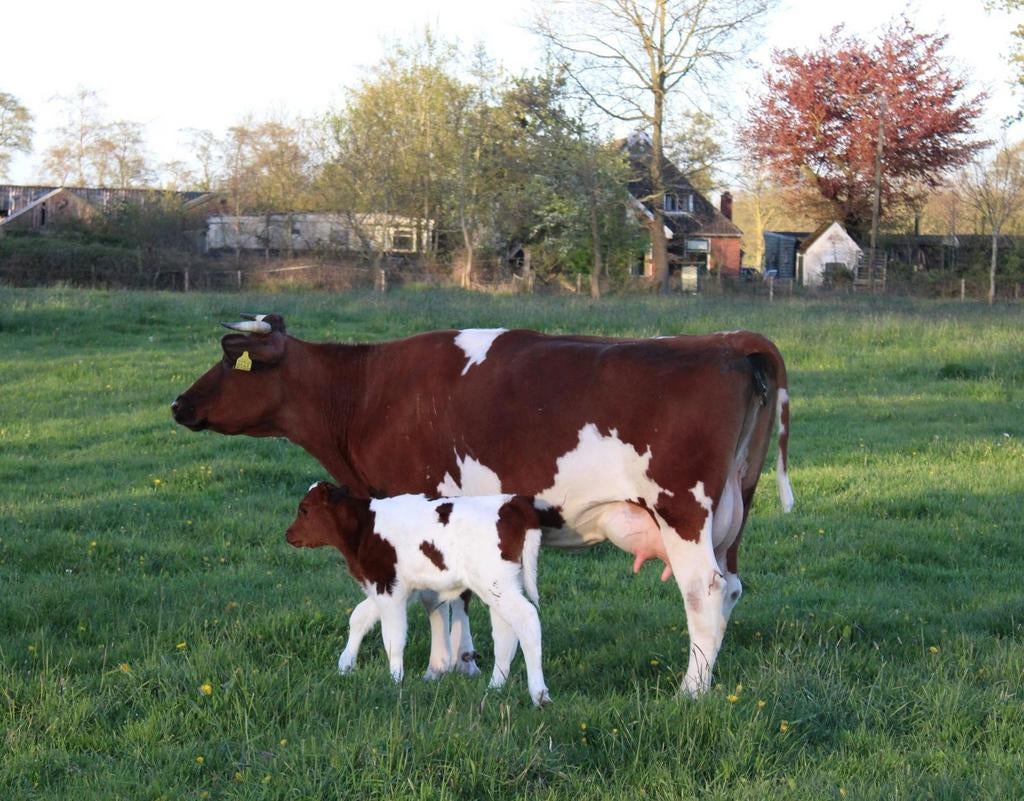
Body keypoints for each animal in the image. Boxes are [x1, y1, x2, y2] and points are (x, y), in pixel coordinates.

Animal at [286, 482, 551, 706]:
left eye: (304, 510)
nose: (288, 535)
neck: (365, 527)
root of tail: (511, 503)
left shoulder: (387, 588)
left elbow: (392, 637)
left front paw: (395, 679)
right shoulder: (395, 587)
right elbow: (359, 616)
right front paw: (345, 665)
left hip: (496, 583)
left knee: (527, 618)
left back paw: (539, 694)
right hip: (501, 585)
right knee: (506, 632)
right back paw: (495, 687)